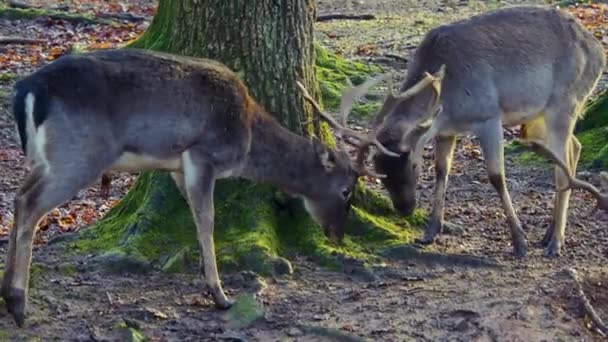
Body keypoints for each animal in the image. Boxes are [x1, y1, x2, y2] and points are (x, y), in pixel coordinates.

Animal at [2, 48, 394, 326]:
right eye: (346, 191)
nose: (338, 234)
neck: (247, 138)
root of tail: (27, 90)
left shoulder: (176, 165)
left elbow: (194, 218)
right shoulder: (203, 154)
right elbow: (207, 221)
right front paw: (220, 295)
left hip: (47, 158)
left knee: (18, 199)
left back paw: (7, 294)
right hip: (79, 153)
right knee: (31, 206)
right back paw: (18, 304)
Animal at [368, 4, 604, 256]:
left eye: (412, 164)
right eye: (380, 172)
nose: (405, 208)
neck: (449, 101)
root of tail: (599, 52)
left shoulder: (489, 115)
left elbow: (496, 176)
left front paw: (519, 242)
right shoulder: (445, 131)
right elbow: (442, 171)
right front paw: (430, 232)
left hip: (566, 101)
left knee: (562, 168)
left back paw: (555, 243)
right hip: (540, 116)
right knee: (575, 148)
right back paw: (548, 234)